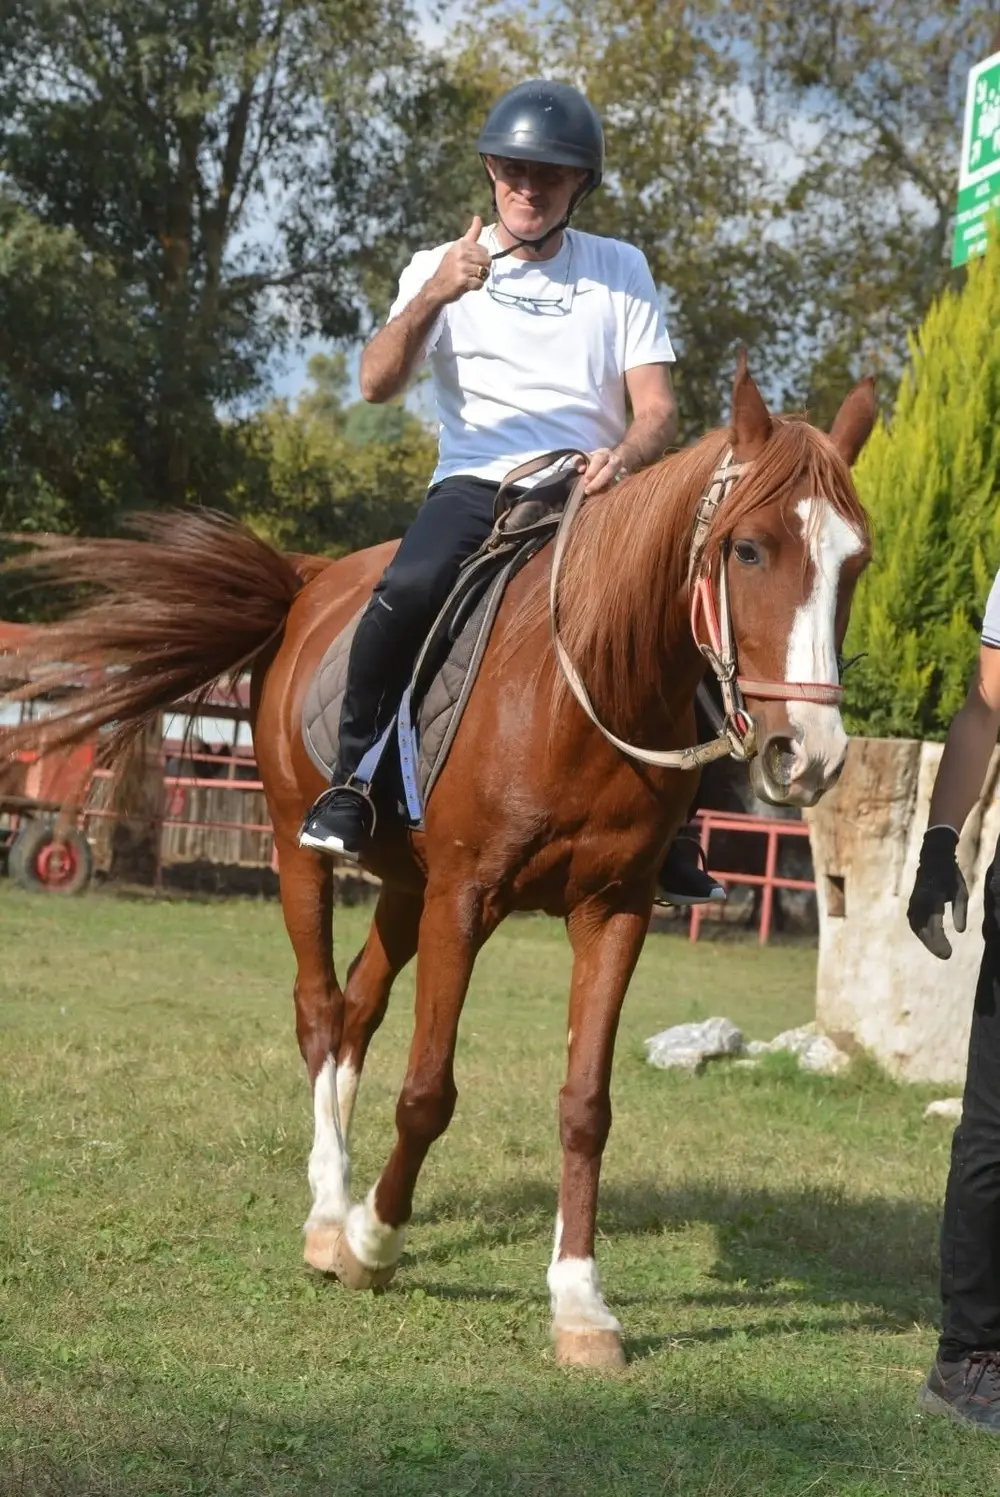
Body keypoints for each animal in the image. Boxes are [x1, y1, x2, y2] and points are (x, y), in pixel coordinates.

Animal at [0, 357, 875, 1370]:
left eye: (855, 562)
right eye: (748, 550)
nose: (806, 754)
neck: (578, 689)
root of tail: (306, 584)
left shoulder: (613, 909)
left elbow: (586, 1103)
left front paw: (580, 1303)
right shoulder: (466, 896)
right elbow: (427, 1091)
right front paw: (373, 1242)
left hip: (405, 888)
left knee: (357, 1007)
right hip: (305, 857)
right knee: (317, 1009)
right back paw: (329, 1210)